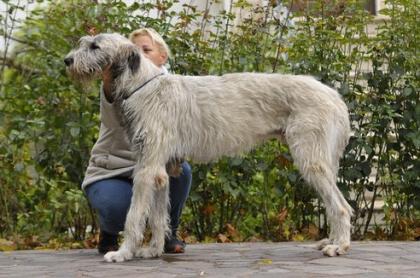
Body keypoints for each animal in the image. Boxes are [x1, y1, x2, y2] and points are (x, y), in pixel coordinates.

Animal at [65, 33, 354, 262]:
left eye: (95, 46)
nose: (67, 60)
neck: (142, 85)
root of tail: (335, 96)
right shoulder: (160, 167)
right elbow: (158, 215)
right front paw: (154, 250)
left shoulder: (146, 168)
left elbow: (135, 214)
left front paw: (123, 253)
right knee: (335, 203)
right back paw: (332, 241)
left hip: (311, 159)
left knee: (341, 206)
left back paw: (339, 246)